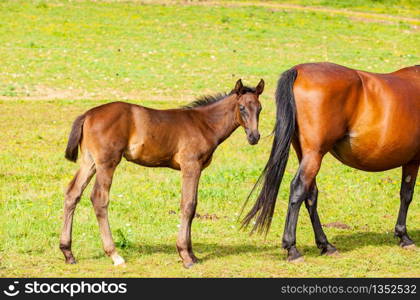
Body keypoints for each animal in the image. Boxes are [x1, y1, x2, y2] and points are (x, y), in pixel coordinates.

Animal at [60, 79, 262, 268]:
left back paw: (68, 253)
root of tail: (88, 115)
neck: (205, 124)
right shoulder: (191, 166)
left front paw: (193, 254)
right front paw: (185, 256)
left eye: (259, 108)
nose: (254, 137)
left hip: (89, 161)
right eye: (242, 107)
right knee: (99, 198)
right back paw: (115, 255)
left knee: (73, 193)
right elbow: (188, 205)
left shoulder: (196, 169)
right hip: (107, 162)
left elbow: (193, 205)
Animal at [241, 62, 418, 262]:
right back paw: (292, 249)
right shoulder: (414, 161)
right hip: (314, 155)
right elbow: (407, 195)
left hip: (305, 154)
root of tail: (299, 70)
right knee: (298, 189)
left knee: (310, 194)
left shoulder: (411, 160)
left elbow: (405, 193)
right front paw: (404, 236)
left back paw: (326, 245)